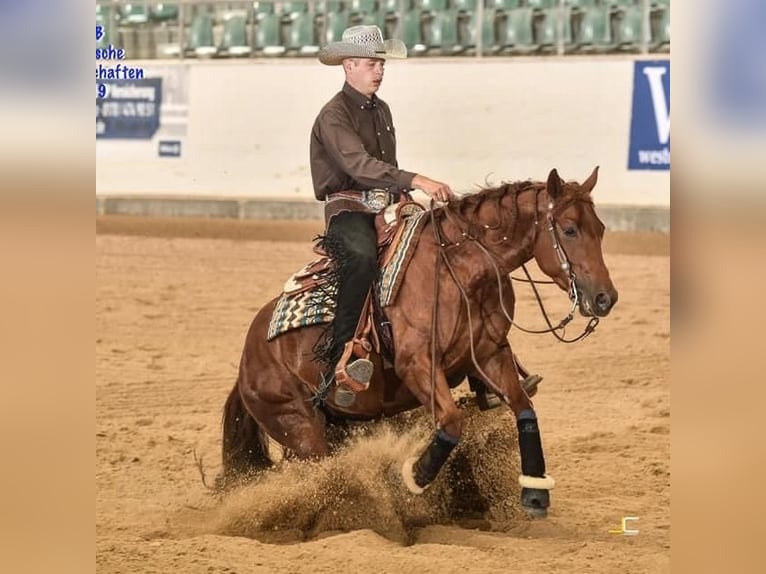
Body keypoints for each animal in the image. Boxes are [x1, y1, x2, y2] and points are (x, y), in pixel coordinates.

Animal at [217, 167, 618, 516]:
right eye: (569, 229)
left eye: (600, 229)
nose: (605, 298)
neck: (458, 270)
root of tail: (248, 360)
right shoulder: (418, 365)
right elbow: (452, 421)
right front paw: (414, 476)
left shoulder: (489, 354)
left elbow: (524, 407)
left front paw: (535, 491)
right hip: (299, 426)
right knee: (320, 476)